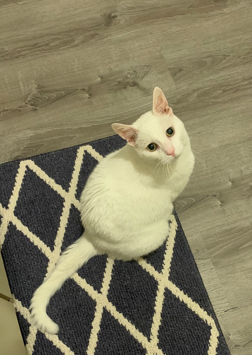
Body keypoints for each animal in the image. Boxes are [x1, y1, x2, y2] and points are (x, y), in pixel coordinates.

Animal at [29, 87, 195, 336]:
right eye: (152, 147)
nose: (171, 151)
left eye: (170, 131)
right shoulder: (172, 192)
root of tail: (91, 236)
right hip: (156, 234)